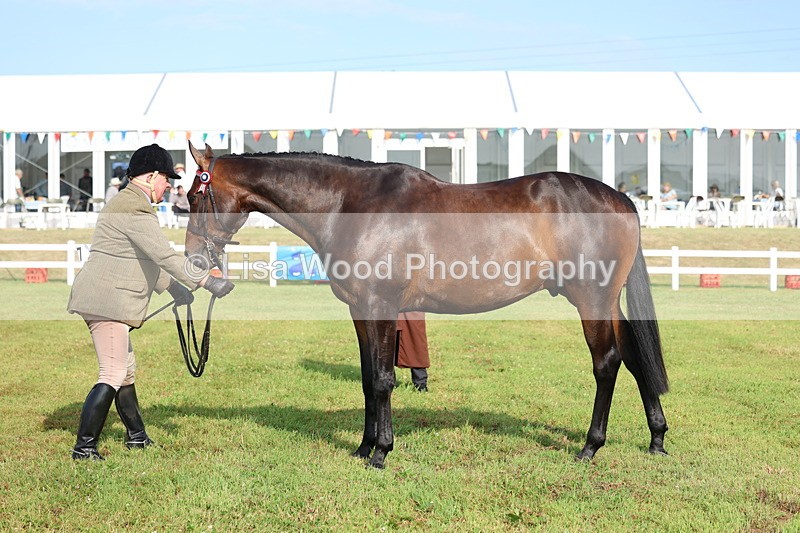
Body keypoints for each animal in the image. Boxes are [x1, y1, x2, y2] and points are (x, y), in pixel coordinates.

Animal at [184, 141, 669, 469]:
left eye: (190, 197)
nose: (194, 260)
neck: (349, 205)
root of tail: (620, 199)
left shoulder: (381, 304)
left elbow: (383, 380)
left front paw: (381, 452)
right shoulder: (360, 310)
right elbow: (367, 380)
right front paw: (363, 446)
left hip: (592, 300)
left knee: (607, 363)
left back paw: (590, 446)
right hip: (609, 303)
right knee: (636, 358)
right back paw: (657, 438)